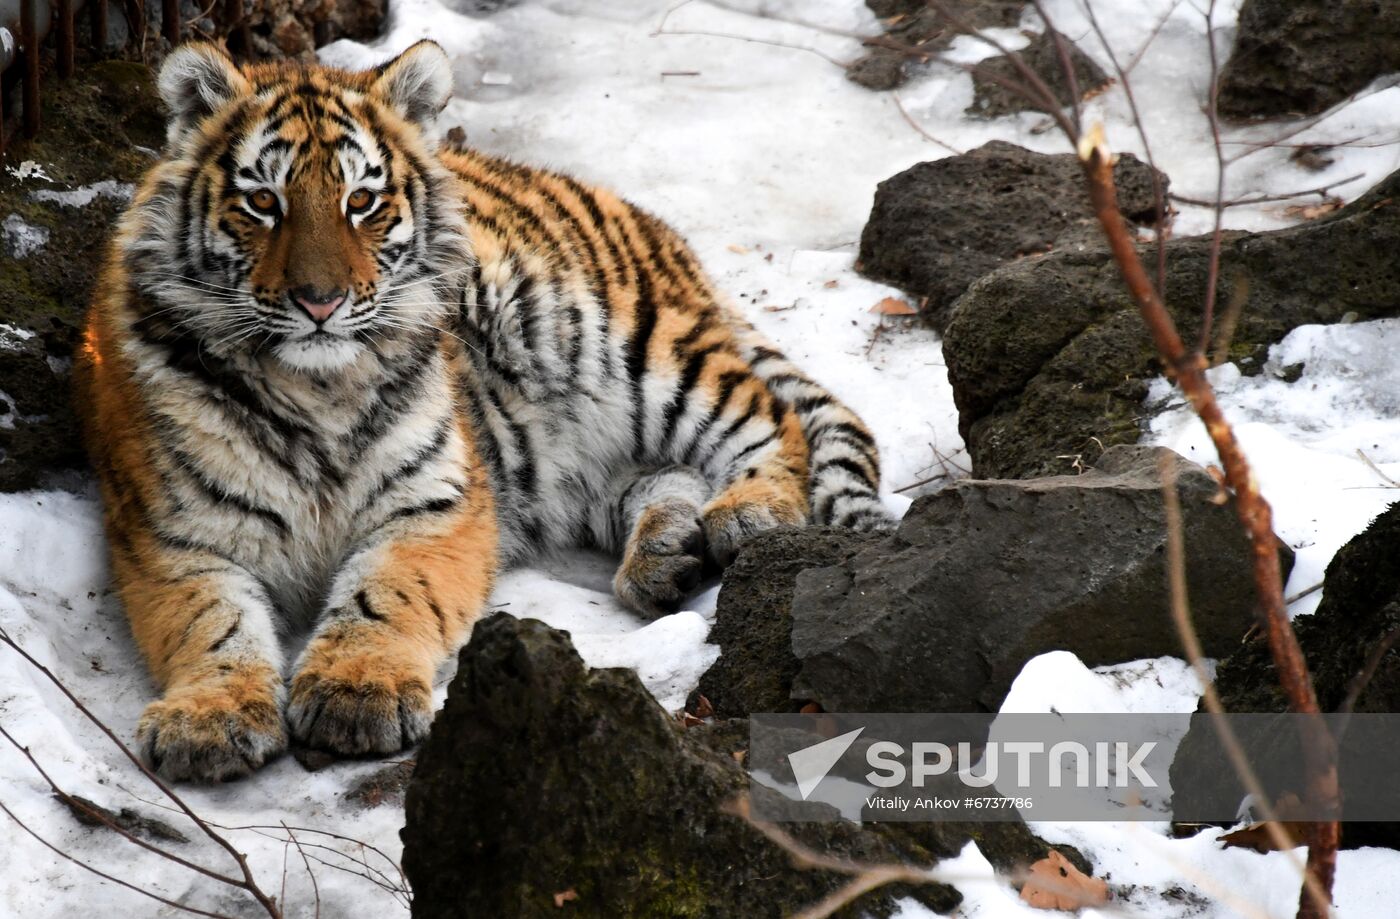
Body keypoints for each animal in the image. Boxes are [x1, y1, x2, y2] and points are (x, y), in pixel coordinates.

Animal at [76, 39, 890, 778]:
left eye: (360, 201)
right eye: (262, 202)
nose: (320, 301)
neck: (317, 390)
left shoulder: (437, 505)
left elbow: (384, 594)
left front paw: (356, 694)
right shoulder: (170, 535)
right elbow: (211, 623)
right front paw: (208, 719)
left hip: (625, 345)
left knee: (772, 418)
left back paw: (748, 512)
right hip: (568, 464)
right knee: (668, 473)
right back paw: (665, 557)